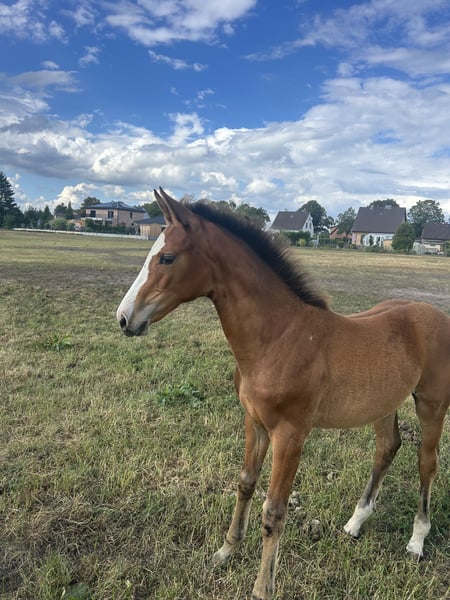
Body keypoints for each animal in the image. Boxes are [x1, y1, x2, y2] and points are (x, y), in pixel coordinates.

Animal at [117, 188, 450, 600]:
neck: (279, 337)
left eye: (167, 257)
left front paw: (263, 586)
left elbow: (275, 510)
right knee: (387, 447)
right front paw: (225, 551)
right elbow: (245, 483)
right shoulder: (254, 422)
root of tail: (435, 315)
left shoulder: (290, 435)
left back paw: (417, 540)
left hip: (432, 404)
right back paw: (355, 522)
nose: (124, 318)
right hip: (384, 402)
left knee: (427, 461)